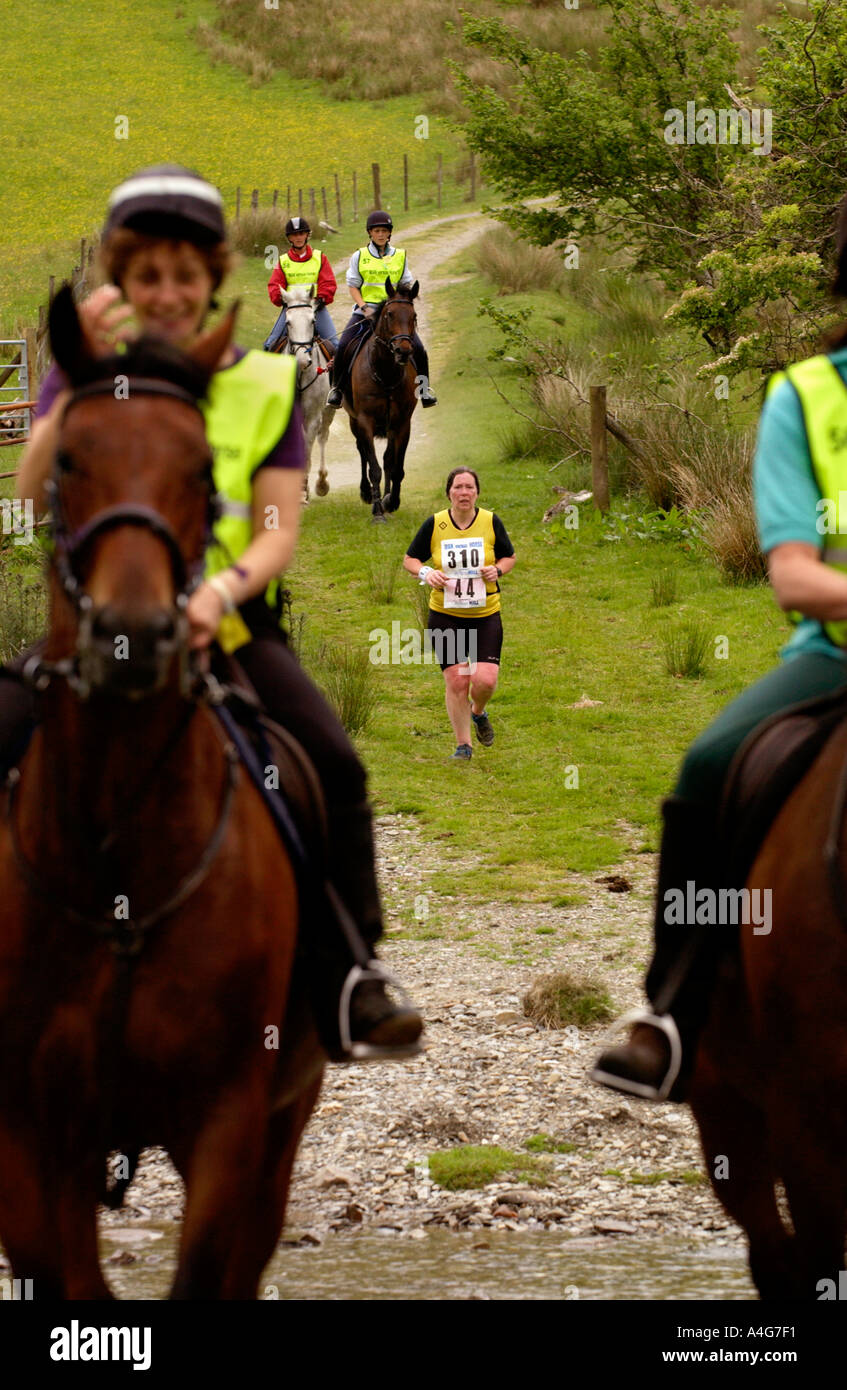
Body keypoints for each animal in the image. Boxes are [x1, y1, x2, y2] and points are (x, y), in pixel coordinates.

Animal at [343, 276, 420, 522]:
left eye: (413, 316)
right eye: (389, 314)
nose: (403, 350)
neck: (386, 372)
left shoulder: (402, 423)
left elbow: (395, 467)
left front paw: (391, 501)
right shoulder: (365, 420)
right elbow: (374, 467)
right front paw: (378, 512)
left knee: (387, 460)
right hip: (354, 421)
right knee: (362, 452)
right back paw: (367, 493)